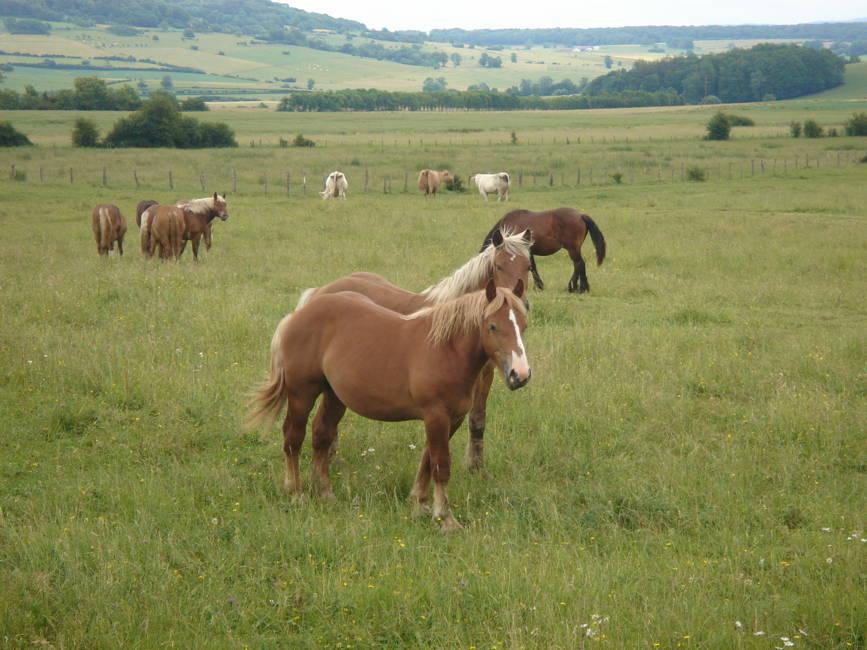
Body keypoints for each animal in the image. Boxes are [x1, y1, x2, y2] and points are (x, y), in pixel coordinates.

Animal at [248, 276, 532, 528]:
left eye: (523, 325)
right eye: (493, 326)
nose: (520, 375)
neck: (446, 349)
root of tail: (297, 314)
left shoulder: (453, 419)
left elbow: (427, 459)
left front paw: (419, 504)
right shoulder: (436, 416)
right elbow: (441, 465)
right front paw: (445, 518)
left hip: (334, 396)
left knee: (322, 435)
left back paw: (325, 493)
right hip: (301, 394)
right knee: (293, 439)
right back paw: (296, 493)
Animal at [294, 228, 532, 470]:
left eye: (528, 266)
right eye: (499, 266)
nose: (522, 304)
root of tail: (320, 291)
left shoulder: (484, 377)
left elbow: (477, 420)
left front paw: (476, 468)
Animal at [482, 206, 612, 292]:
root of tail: (580, 215)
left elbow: (532, 267)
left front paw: (538, 286)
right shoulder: (528, 252)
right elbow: (532, 266)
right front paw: (538, 286)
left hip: (573, 249)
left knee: (579, 264)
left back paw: (579, 288)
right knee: (578, 265)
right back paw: (574, 287)